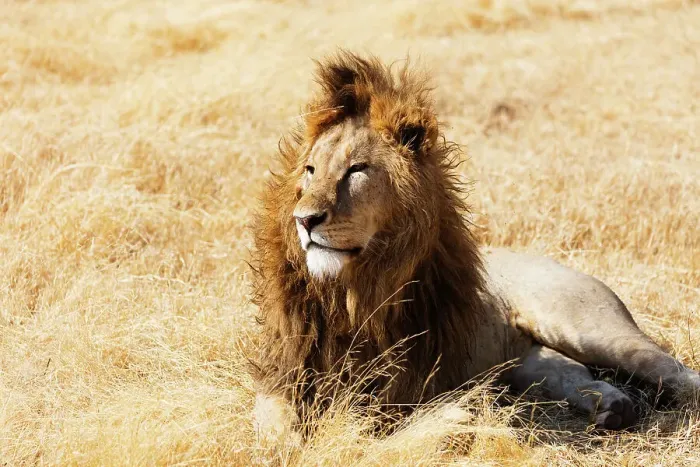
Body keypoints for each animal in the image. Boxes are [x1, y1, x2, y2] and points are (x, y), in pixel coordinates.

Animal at [250, 51, 700, 441]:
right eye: (310, 170)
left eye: (357, 170)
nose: (304, 220)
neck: (351, 294)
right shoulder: (284, 375)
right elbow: (274, 426)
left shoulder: (402, 390)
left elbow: (370, 424)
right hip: (522, 362)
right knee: (568, 369)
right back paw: (612, 406)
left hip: (587, 327)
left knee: (672, 370)